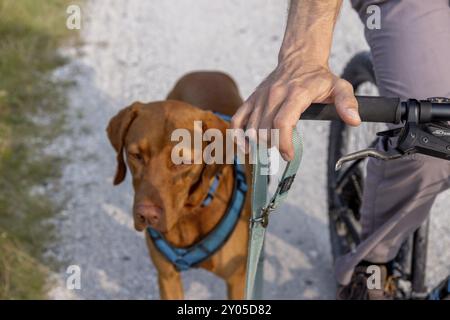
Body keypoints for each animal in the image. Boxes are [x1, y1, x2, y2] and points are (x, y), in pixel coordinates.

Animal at [107, 71, 251, 298]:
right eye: (136, 155)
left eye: (183, 161)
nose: (146, 215)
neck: (188, 215)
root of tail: (206, 72)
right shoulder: (167, 277)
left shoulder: (238, 280)